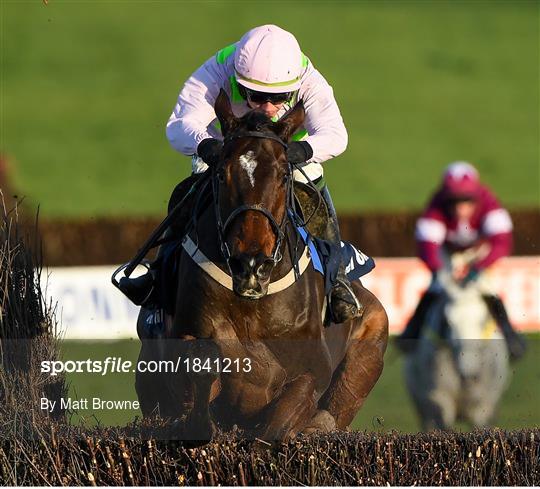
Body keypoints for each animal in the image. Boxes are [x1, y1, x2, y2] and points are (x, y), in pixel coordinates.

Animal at [135, 89, 388, 440]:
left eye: (283, 175)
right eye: (221, 173)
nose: (251, 264)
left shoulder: (310, 374)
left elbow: (272, 428)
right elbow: (200, 371)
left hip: (370, 341)